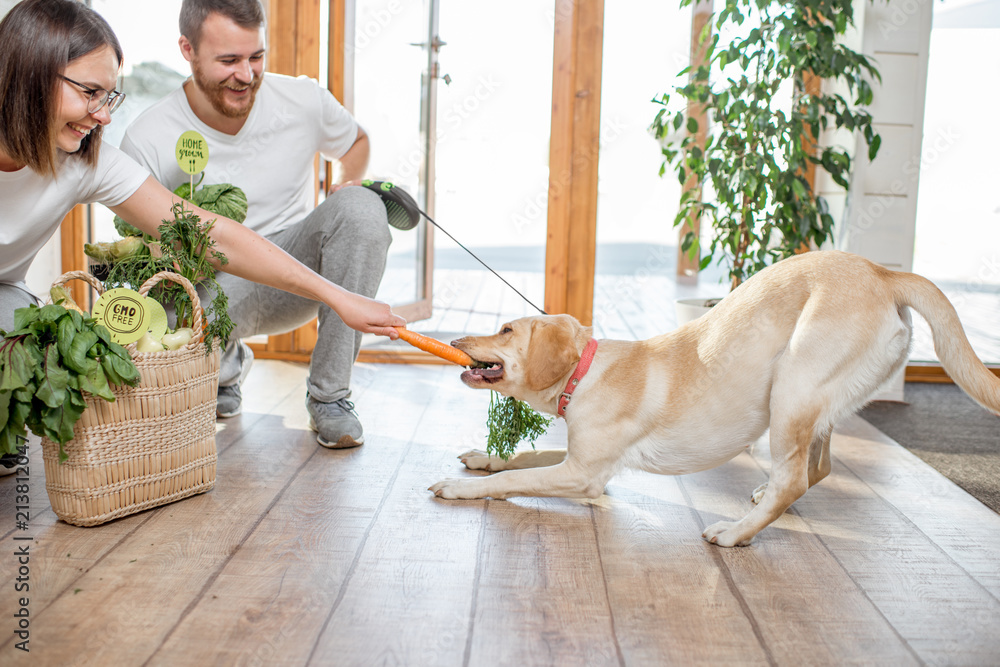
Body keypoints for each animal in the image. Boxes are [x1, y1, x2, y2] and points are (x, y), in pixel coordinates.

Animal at [430, 250, 1000, 548]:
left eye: (505, 329)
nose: (454, 339)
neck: (587, 371)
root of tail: (882, 272)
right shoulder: (580, 459)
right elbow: (522, 458)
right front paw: (483, 458)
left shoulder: (585, 475)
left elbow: (514, 479)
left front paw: (461, 489)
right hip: (818, 401)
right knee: (817, 467)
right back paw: (760, 499)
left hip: (792, 387)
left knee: (795, 478)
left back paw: (736, 533)